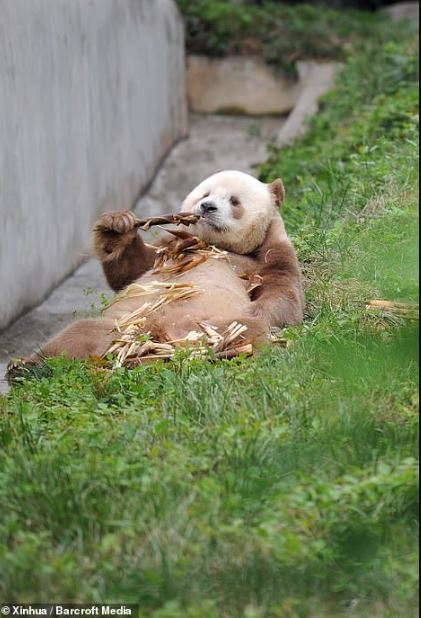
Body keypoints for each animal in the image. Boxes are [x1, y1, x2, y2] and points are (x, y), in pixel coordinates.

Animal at [13, 168, 302, 364]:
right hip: (122, 326)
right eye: (205, 193)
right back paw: (28, 367)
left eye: (234, 201)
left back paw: (226, 352)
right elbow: (131, 272)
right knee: (76, 336)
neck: (212, 245)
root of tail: (156, 338)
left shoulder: (269, 252)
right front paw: (116, 226)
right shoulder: (170, 248)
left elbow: (282, 294)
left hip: (207, 325)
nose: (206, 207)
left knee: (245, 331)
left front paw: (262, 310)